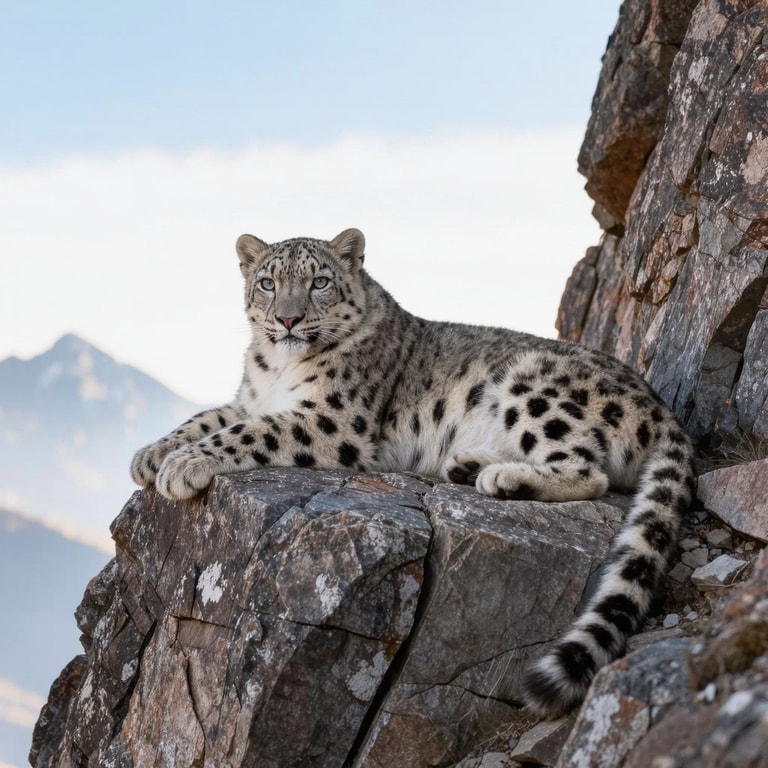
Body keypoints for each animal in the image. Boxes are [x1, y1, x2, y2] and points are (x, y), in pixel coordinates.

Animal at [131, 228, 695, 718]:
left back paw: (501, 478)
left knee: (588, 469)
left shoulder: (332, 420)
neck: (276, 369)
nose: (288, 320)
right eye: (268, 282)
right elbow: (208, 418)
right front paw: (151, 455)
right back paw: (469, 464)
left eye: (319, 282)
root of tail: (661, 407)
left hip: (534, 387)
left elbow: (248, 433)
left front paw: (183, 465)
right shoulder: (247, 399)